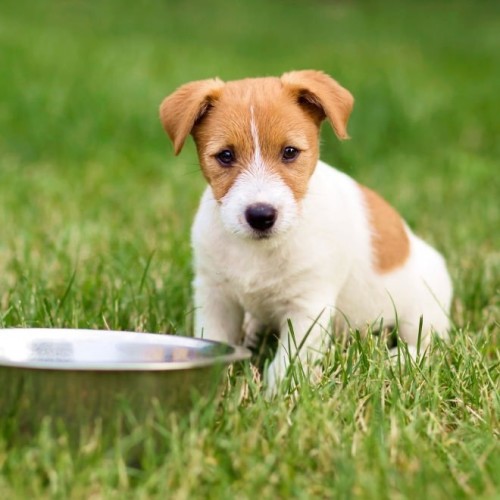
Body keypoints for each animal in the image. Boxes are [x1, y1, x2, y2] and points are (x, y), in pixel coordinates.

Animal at [161, 70, 454, 394]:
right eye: (225, 155)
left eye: (290, 152)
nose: (261, 215)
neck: (258, 251)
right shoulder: (215, 296)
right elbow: (215, 341)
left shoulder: (307, 307)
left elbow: (286, 364)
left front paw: (275, 398)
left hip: (423, 310)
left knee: (426, 345)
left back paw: (397, 359)